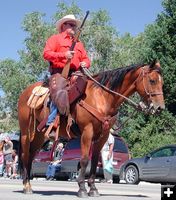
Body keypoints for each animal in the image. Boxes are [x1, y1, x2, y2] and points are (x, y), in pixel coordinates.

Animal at [17, 60, 165, 198]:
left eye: (161, 82)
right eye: (152, 80)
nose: (159, 108)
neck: (101, 97)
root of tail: (25, 92)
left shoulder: (103, 135)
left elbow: (94, 161)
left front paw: (93, 188)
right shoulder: (87, 132)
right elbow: (84, 160)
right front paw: (82, 188)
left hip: (39, 136)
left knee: (31, 156)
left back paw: (28, 184)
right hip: (26, 133)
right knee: (25, 156)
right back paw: (26, 186)